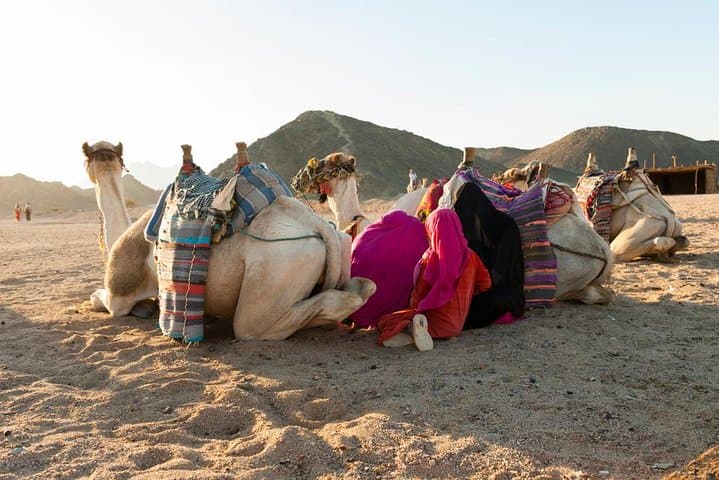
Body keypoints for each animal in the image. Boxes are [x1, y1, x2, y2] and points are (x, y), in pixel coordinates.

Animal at [83, 141, 375, 341]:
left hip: (277, 270)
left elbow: (97, 298)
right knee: (362, 289)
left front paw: (142, 308)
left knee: (251, 325)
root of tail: (317, 224)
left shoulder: (119, 296)